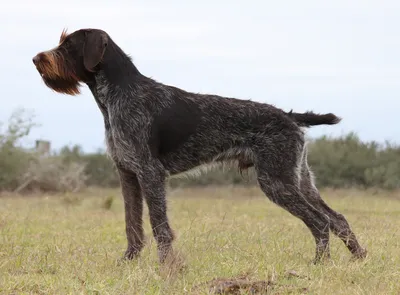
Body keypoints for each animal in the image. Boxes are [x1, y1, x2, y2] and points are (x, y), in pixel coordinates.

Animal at [32, 28, 368, 264]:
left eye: (67, 45)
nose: (36, 59)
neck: (117, 94)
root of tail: (288, 116)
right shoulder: (127, 174)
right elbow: (132, 225)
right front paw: (128, 262)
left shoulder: (150, 173)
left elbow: (158, 225)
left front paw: (166, 267)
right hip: (299, 179)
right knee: (337, 218)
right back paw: (359, 258)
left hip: (277, 181)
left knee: (320, 221)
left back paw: (320, 264)